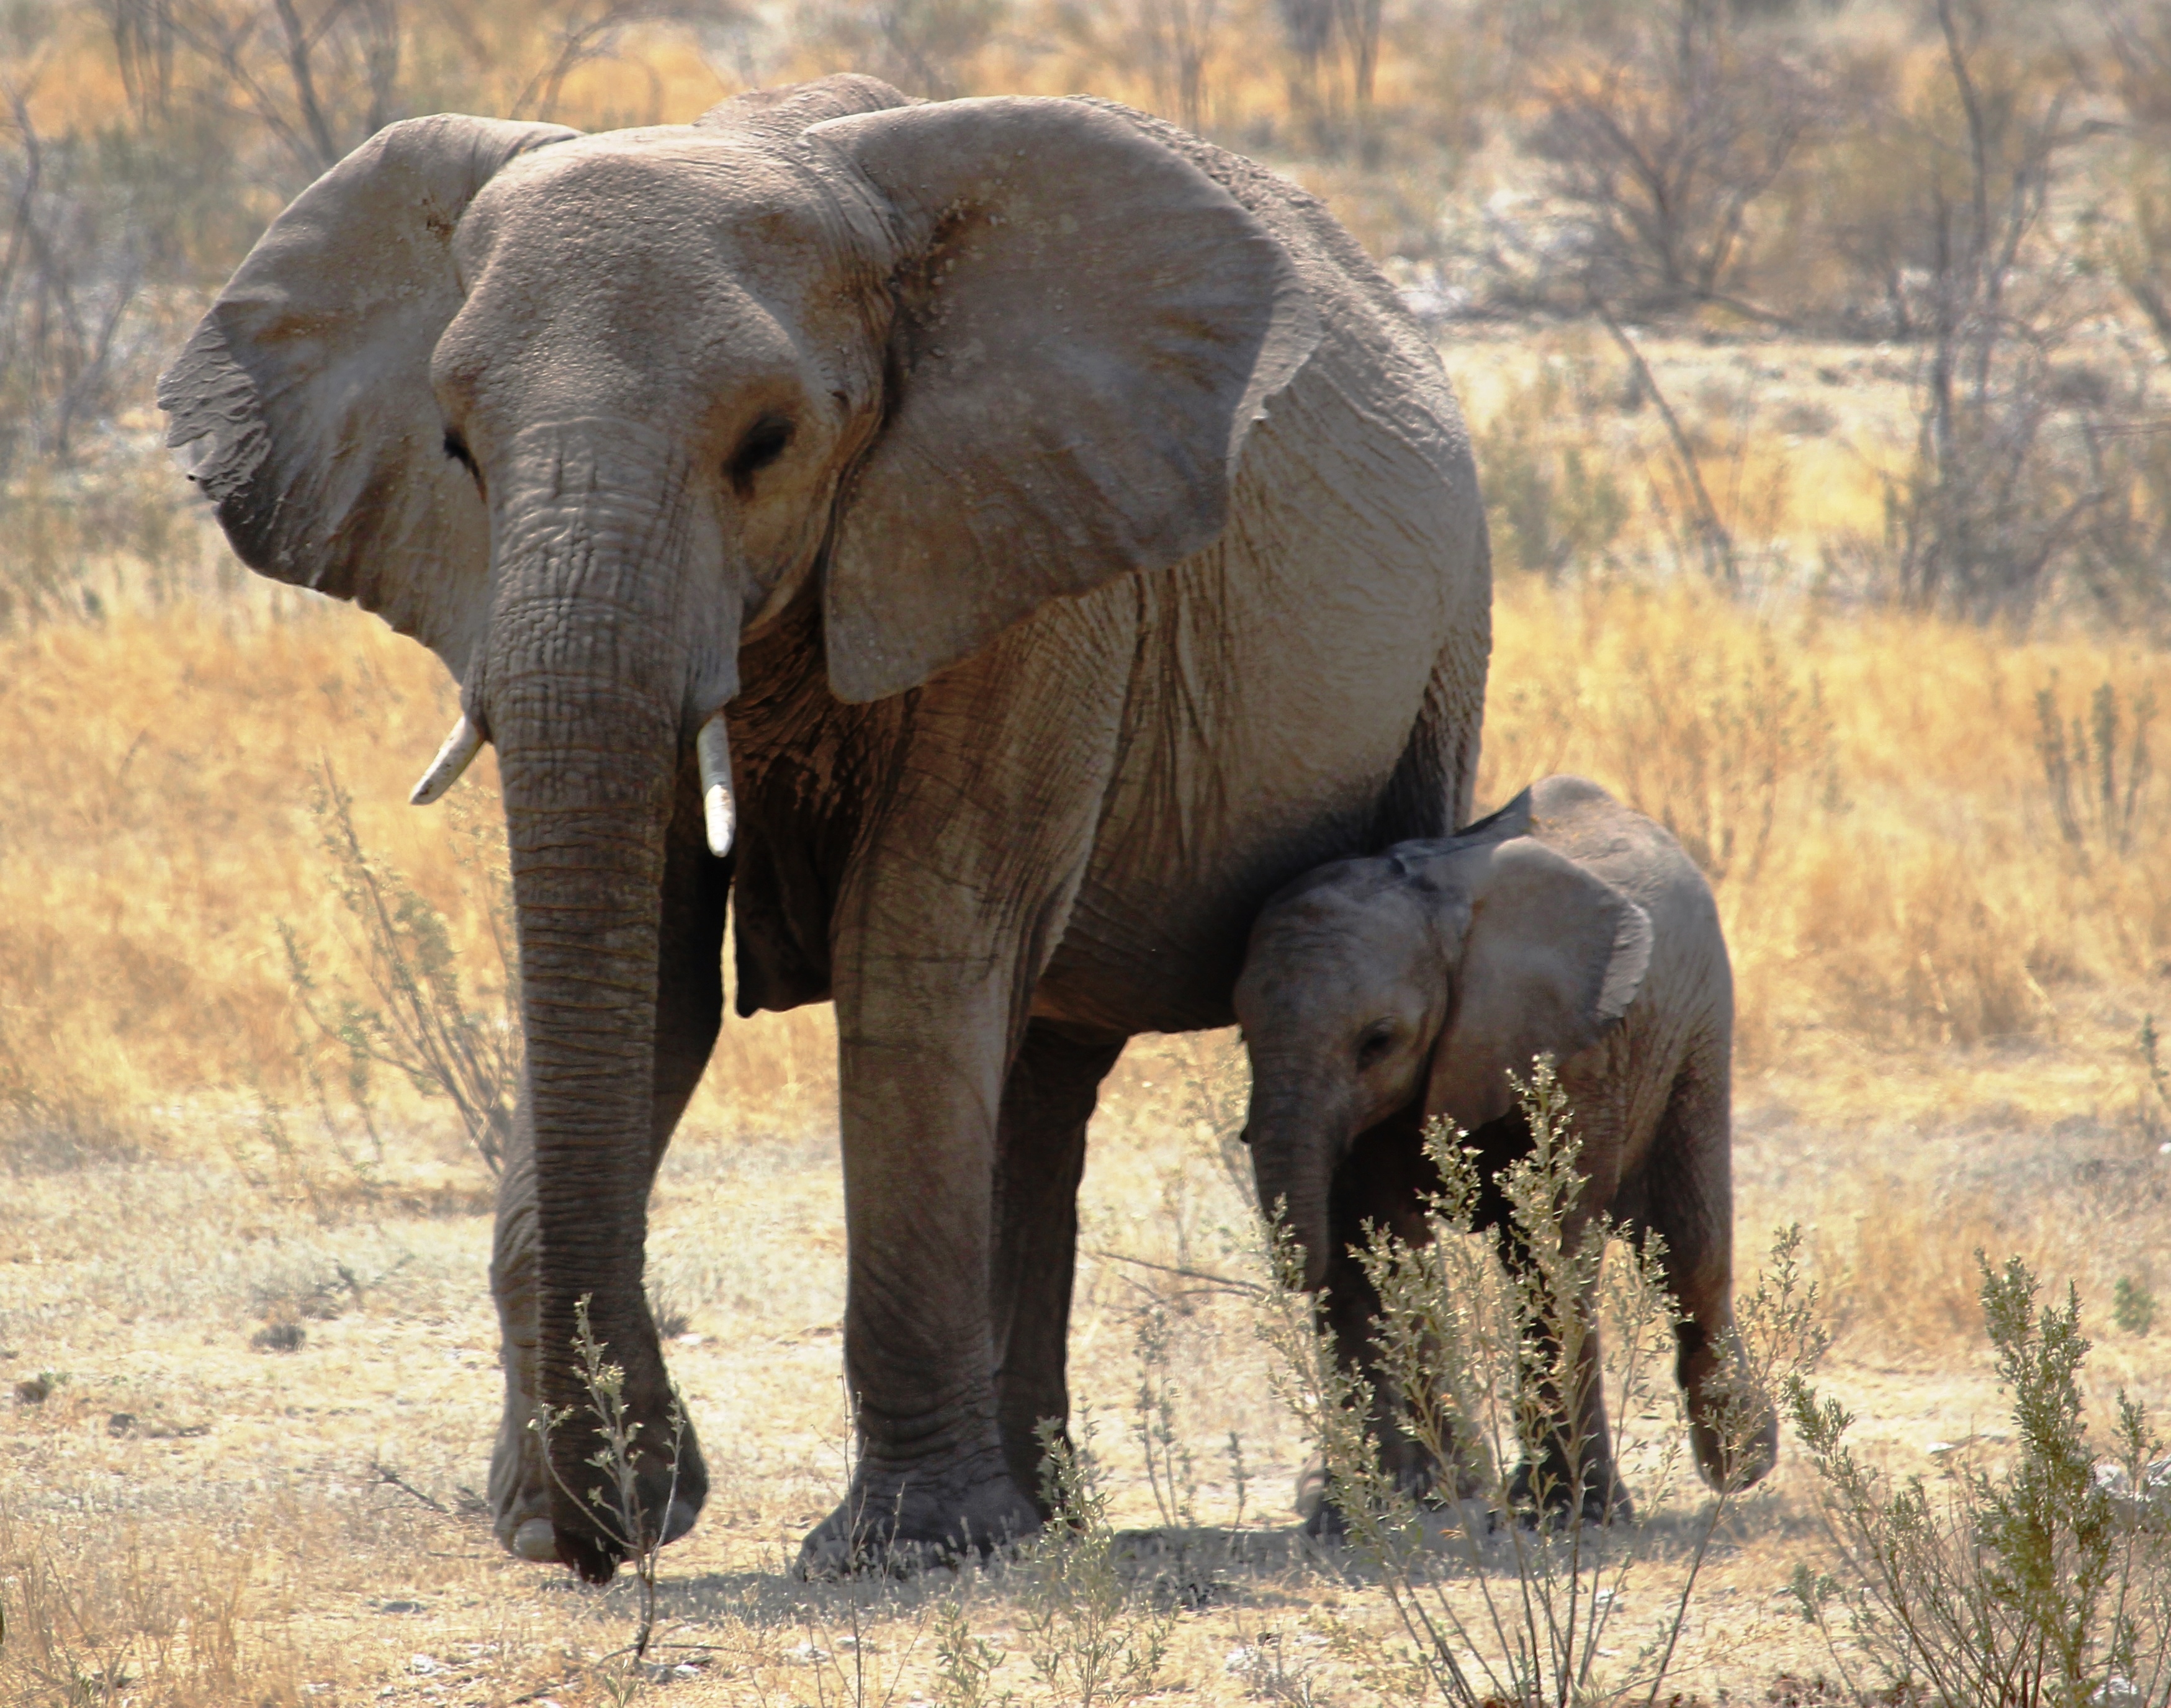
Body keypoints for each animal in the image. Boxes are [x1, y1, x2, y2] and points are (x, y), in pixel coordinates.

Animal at [158, 73, 1491, 1581]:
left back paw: (1381, 1506)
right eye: (456, 448)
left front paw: (902, 1553)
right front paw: (558, 1517)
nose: (628, 1523)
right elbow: (651, 977)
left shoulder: (1027, 567)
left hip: (1444, 651)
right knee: (1041, 1078)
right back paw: (1048, 1518)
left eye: (768, 444)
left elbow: (914, 949)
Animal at [1231, 774, 1775, 1526]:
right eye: (1241, 1033)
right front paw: (1370, 1516)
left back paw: (1742, 1465)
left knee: (1689, 1250)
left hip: (1698, 1030)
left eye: (1378, 1041)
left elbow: (1549, 1245)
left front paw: (1570, 1515)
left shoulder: (1576, 1055)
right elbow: (1379, 1246)